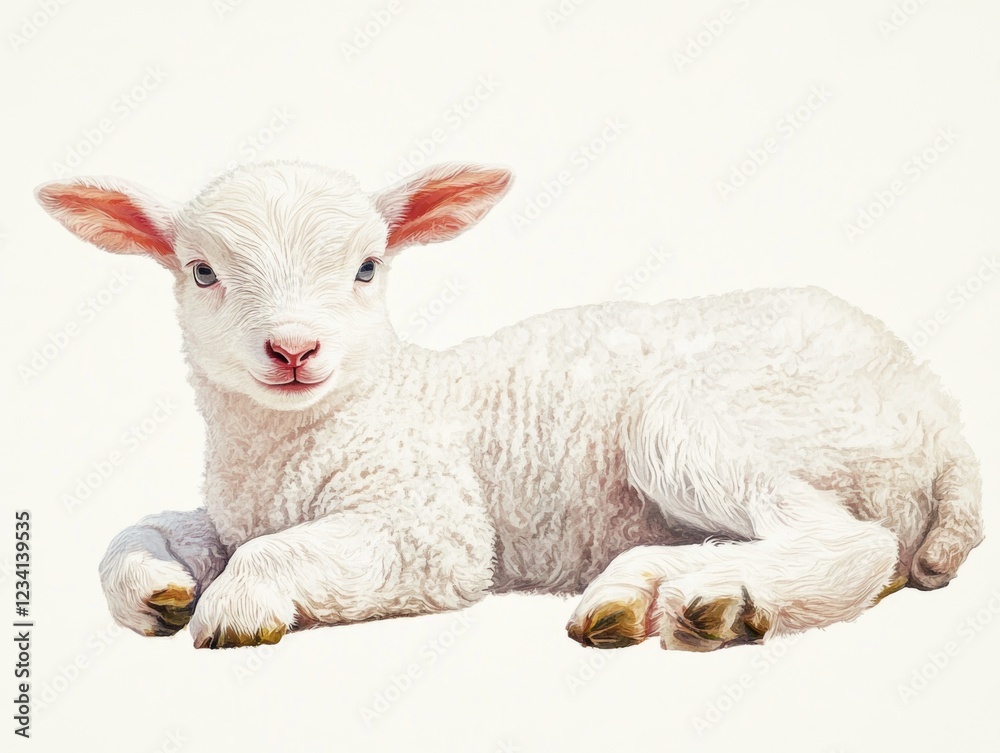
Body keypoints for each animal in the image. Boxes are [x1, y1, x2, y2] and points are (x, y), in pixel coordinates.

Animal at [35, 161, 984, 651]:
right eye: (201, 272)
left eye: (367, 268)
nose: (295, 350)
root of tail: (935, 404)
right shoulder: (238, 507)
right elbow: (151, 527)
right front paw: (157, 587)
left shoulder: (432, 522)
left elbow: (278, 553)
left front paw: (235, 607)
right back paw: (647, 593)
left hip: (702, 422)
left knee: (853, 541)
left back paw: (722, 601)